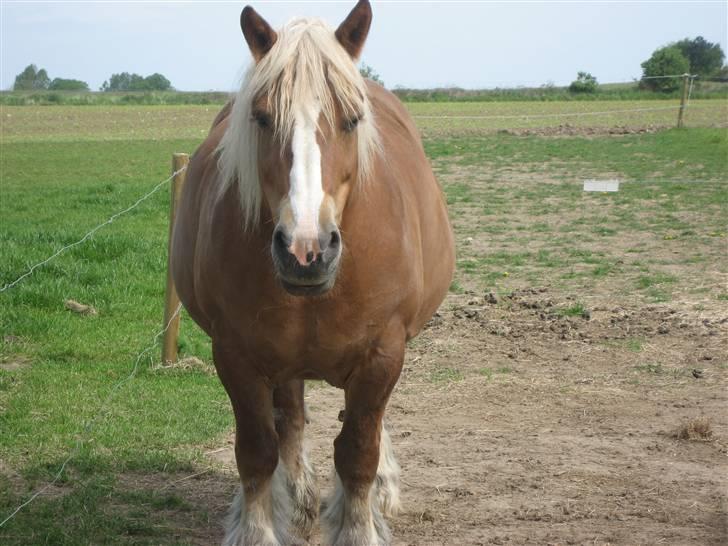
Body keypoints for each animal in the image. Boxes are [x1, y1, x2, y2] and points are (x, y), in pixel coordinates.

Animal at [172, 3, 456, 540]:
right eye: (262, 118)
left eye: (352, 120)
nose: (306, 249)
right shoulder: (236, 355)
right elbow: (257, 452)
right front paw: (258, 528)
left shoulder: (383, 353)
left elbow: (358, 451)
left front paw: (359, 525)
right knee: (291, 421)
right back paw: (299, 499)